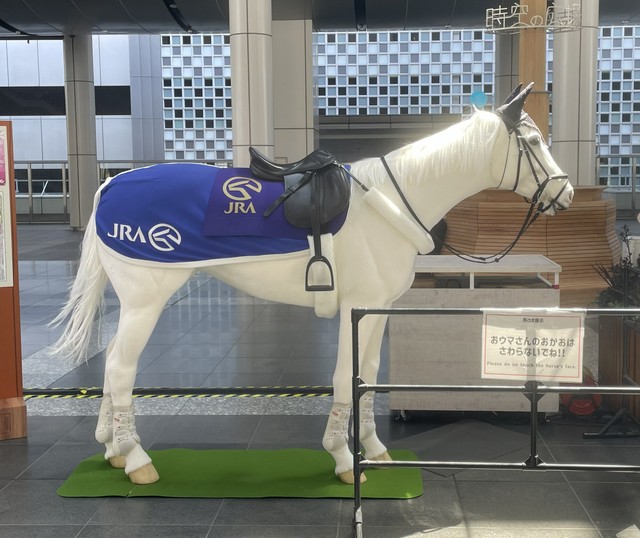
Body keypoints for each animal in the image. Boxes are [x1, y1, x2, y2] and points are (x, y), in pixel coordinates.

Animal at [51, 83, 573, 485]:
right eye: (532, 140)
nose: (566, 192)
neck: (393, 199)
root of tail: (110, 185)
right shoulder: (355, 308)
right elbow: (345, 378)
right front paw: (343, 459)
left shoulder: (378, 310)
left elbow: (370, 373)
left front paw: (374, 450)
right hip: (146, 301)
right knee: (121, 369)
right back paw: (136, 459)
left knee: (112, 368)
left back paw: (113, 449)